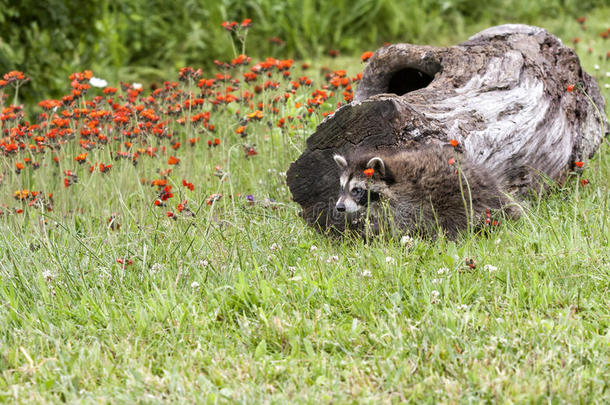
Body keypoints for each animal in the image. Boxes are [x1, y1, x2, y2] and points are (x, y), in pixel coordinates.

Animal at [332, 144, 516, 237]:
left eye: (357, 190)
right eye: (342, 187)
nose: (339, 207)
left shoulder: (409, 202)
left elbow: (404, 226)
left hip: (462, 198)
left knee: (454, 222)